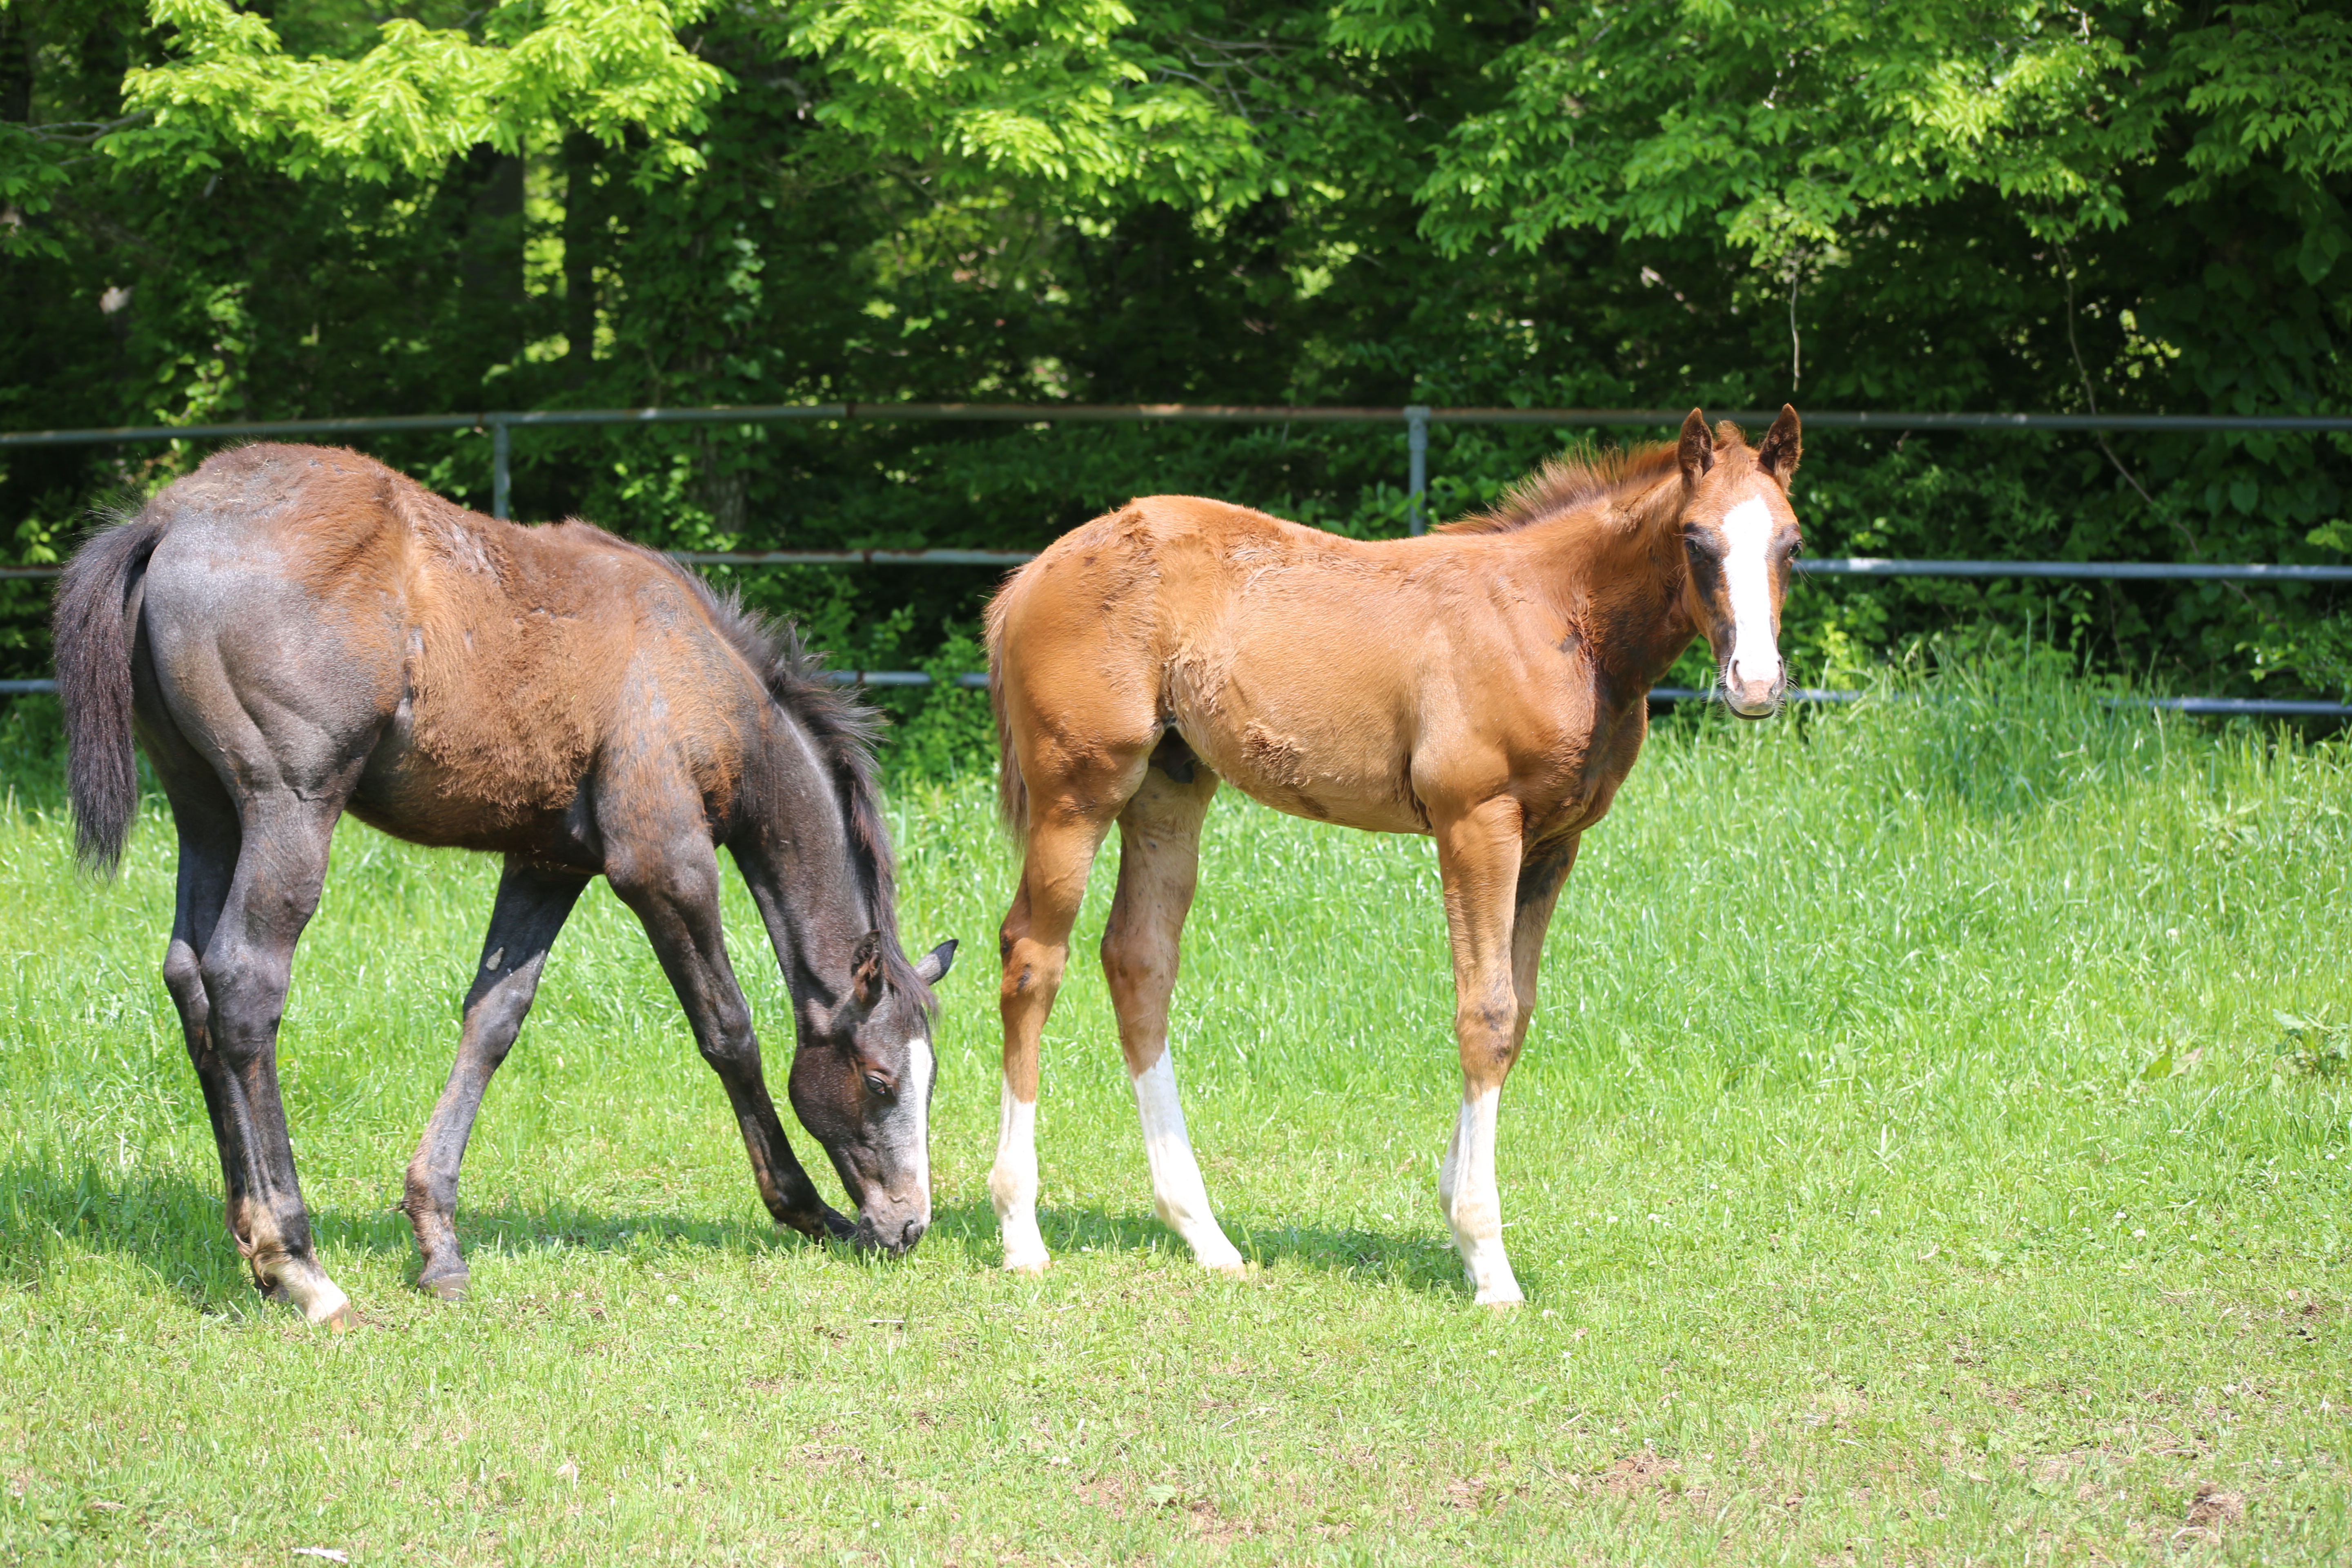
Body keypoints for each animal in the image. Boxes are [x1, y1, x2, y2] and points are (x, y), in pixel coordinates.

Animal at [978, 411, 1797, 1307]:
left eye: (1790, 543)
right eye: (1696, 539)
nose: (1756, 684)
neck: (1562, 617)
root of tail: (1030, 576)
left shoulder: (1554, 842)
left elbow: (1517, 1010)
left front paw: (1458, 1218)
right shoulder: (1477, 822)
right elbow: (1486, 1014)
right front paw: (1487, 1257)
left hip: (1170, 786)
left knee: (1138, 961)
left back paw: (1205, 1235)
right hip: (1078, 793)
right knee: (1033, 958)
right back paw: (1020, 1231)